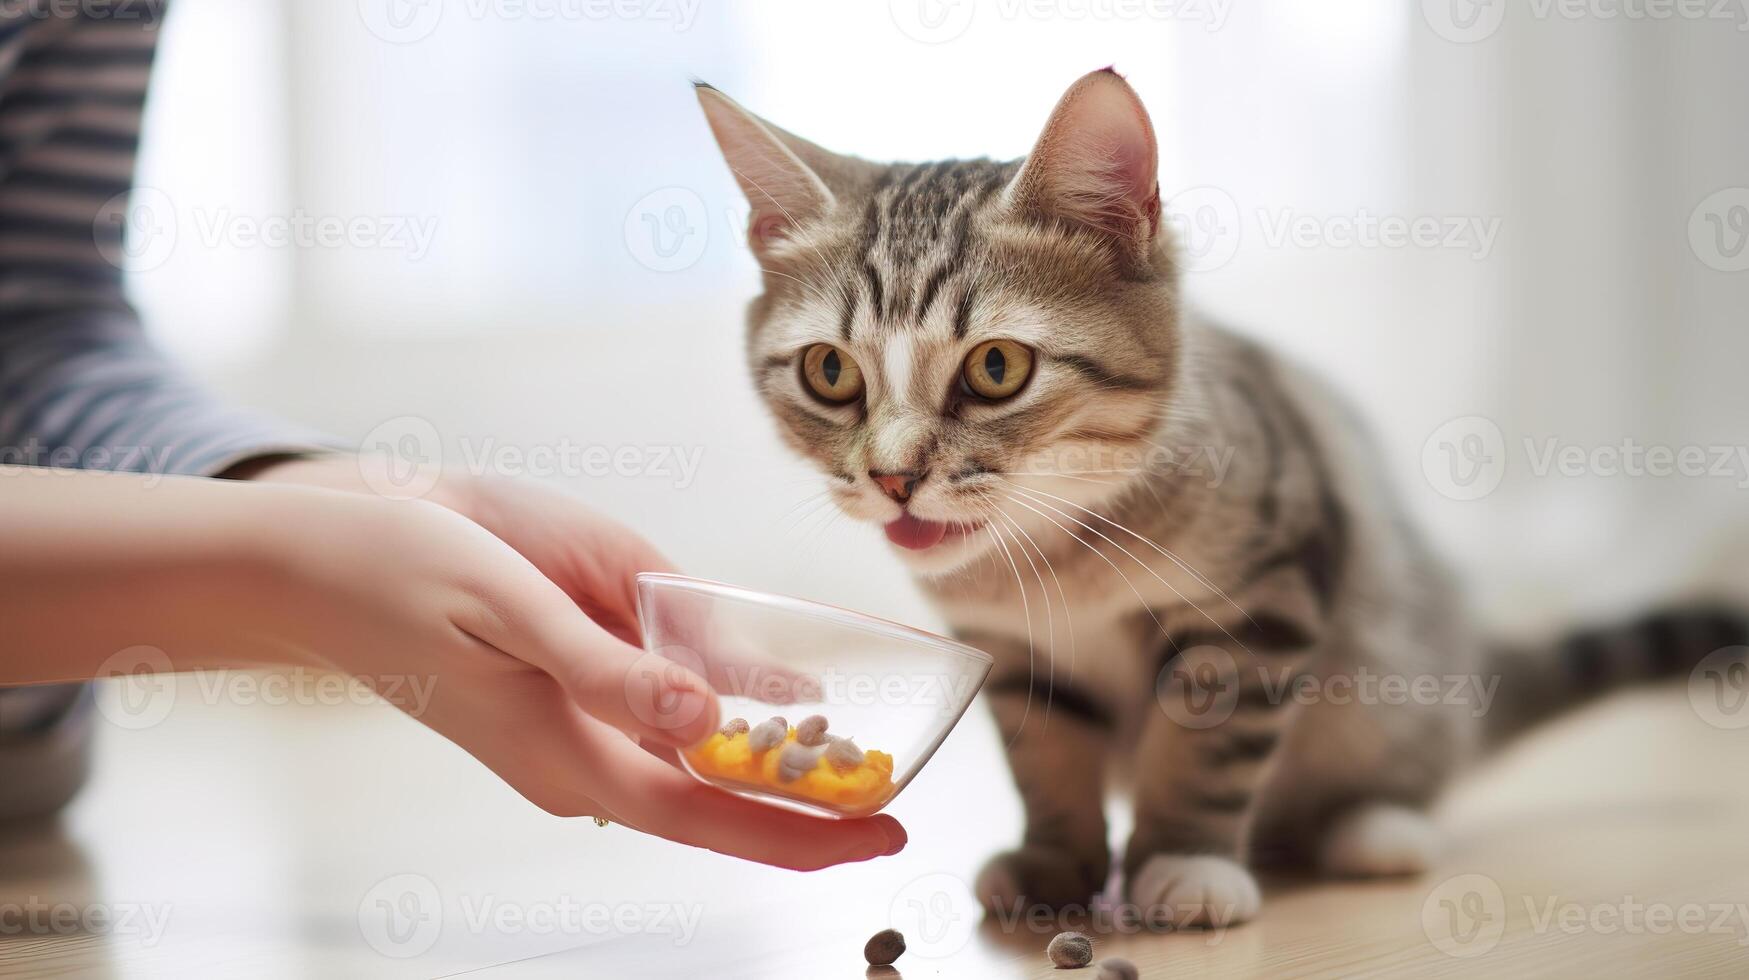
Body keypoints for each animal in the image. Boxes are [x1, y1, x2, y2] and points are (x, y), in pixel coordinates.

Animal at [692, 70, 1735, 924]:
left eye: (995, 367)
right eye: (829, 371)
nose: (892, 474)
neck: (1060, 557)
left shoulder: (1263, 597)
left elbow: (1208, 744)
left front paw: (1186, 861)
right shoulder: (1015, 653)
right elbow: (1047, 758)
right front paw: (1054, 863)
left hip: (1396, 670)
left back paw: (1374, 828)